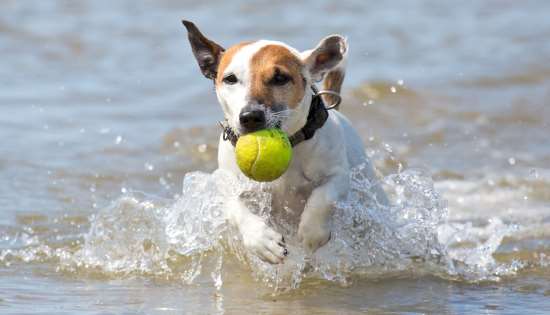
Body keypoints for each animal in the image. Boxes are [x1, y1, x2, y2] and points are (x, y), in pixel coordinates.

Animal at [182, 21, 388, 266]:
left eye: (280, 78)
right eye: (230, 79)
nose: (250, 116)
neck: (291, 140)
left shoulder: (337, 175)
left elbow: (323, 197)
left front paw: (312, 232)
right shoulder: (226, 180)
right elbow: (234, 205)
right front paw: (261, 240)